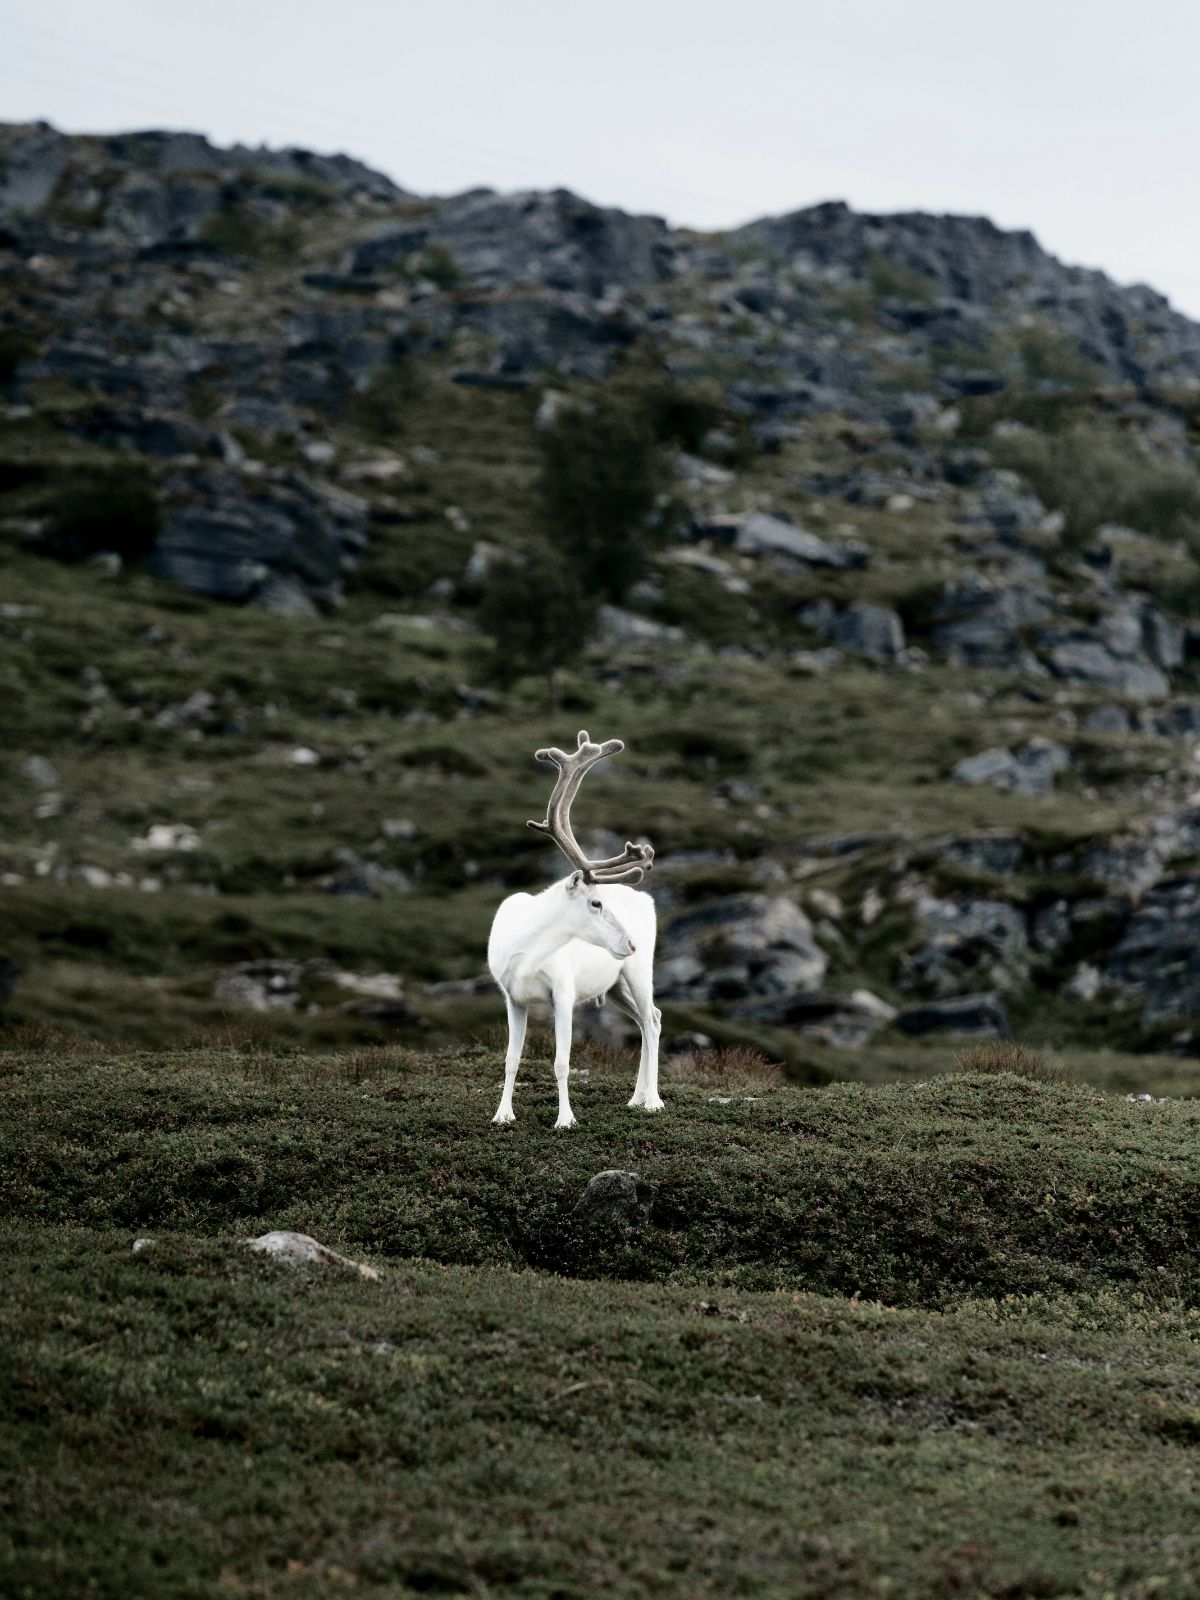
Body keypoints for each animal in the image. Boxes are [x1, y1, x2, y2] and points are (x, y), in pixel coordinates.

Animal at [487, 730, 661, 1129]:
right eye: (596, 902)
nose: (631, 942)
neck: (527, 953)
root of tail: (647, 898)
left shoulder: (563, 994)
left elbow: (562, 1063)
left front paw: (565, 1119)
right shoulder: (512, 997)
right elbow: (510, 1059)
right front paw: (503, 1115)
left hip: (639, 972)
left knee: (652, 1020)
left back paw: (653, 1100)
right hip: (614, 986)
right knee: (647, 1021)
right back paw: (635, 1098)